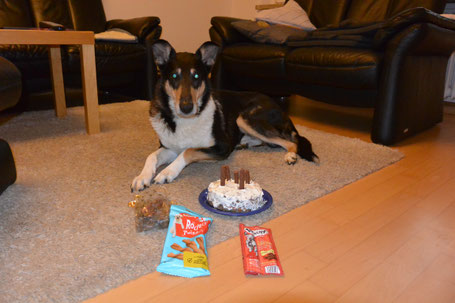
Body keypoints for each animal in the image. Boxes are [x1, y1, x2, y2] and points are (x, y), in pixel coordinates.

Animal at [131, 39, 318, 192]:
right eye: (174, 76)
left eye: (196, 76)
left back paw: (290, 155)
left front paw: (167, 171)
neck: (184, 122)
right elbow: (151, 156)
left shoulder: (221, 146)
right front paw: (142, 177)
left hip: (244, 118)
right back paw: (244, 143)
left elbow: (188, 151)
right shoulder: (169, 147)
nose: (186, 107)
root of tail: (279, 106)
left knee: (290, 141)